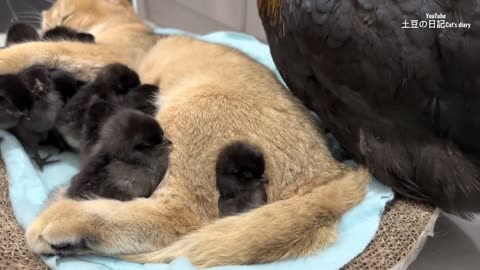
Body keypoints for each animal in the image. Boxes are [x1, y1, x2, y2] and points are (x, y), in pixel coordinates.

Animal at [0, 0, 372, 266]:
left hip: (190, 116)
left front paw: (9, 55)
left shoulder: (106, 53)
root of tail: (334, 175)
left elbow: (39, 49)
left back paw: (63, 222)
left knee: (171, 220)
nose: (46, 19)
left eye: (63, 11)